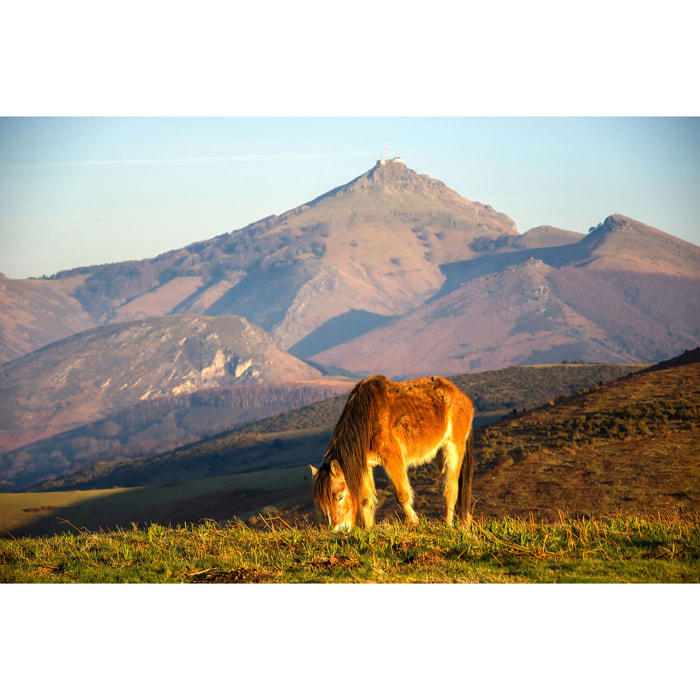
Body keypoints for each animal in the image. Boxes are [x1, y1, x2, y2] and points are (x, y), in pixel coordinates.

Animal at [310, 374, 474, 531]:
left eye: (339, 497)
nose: (338, 529)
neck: (368, 418)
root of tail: (462, 398)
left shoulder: (393, 459)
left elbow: (401, 495)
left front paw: (414, 523)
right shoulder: (365, 465)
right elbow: (365, 499)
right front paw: (369, 529)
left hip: (453, 448)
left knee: (451, 488)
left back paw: (447, 525)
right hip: (439, 456)